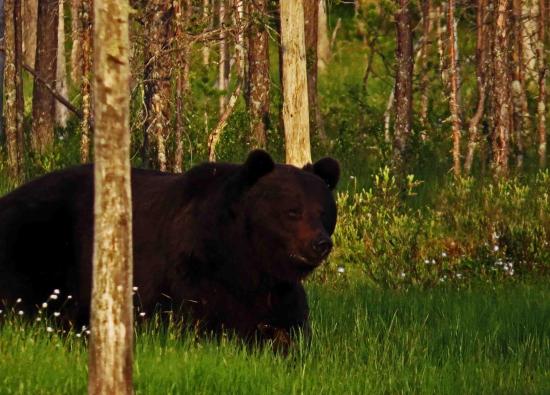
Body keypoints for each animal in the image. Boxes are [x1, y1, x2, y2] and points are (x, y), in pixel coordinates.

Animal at [0, 150, 340, 344]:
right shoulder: (191, 273)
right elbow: (203, 322)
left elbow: (293, 327)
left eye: (324, 211)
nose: (320, 243)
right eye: (292, 211)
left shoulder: (280, 291)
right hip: (39, 240)